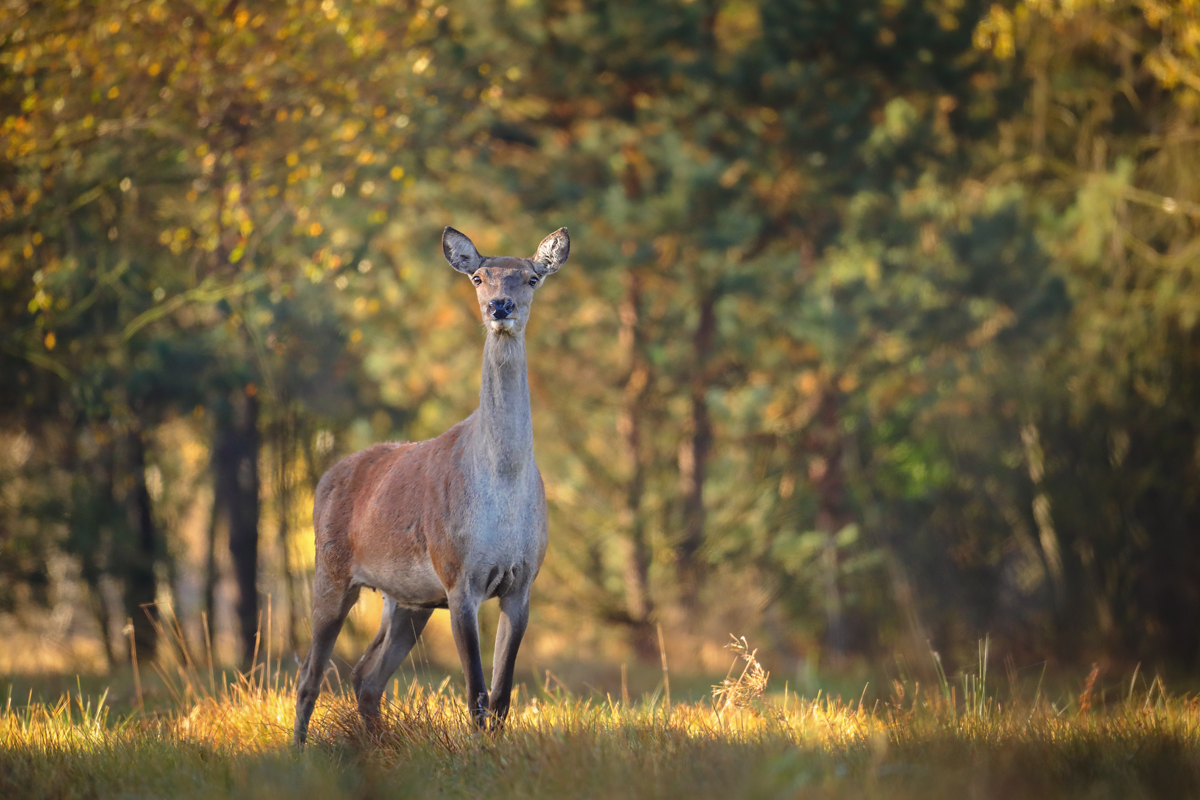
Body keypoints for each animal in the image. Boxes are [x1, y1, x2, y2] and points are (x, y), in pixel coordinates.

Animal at [292, 224, 568, 743]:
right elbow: (476, 693)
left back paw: (376, 747)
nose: (501, 306)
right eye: (479, 277)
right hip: (330, 571)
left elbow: (501, 697)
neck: (502, 485)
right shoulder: (458, 575)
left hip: (407, 600)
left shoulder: (523, 581)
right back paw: (298, 750)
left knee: (365, 675)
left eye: (531, 277)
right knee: (309, 675)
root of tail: (325, 479)